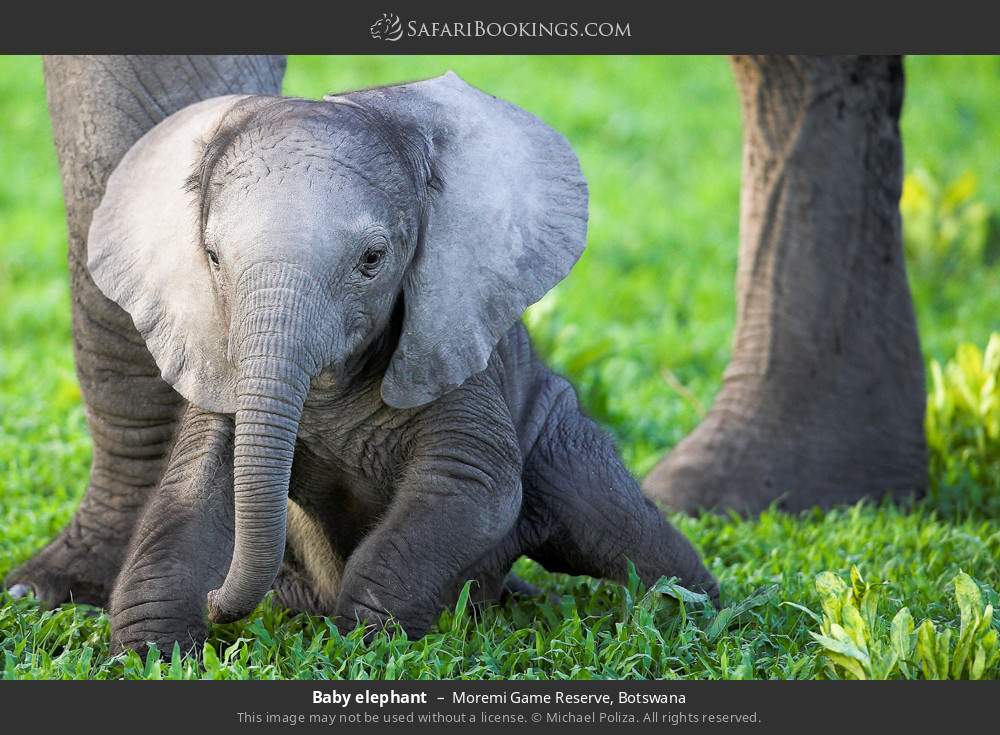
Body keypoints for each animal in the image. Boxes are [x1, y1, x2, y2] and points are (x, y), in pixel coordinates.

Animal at [68, 72, 718, 651]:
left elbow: (468, 482)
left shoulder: (453, 343)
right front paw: (150, 654)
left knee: (614, 523)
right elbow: (192, 488)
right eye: (211, 257)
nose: (218, 605)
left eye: (373, 259)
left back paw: (697, 611)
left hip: (554, 425)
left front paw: (360, 642)